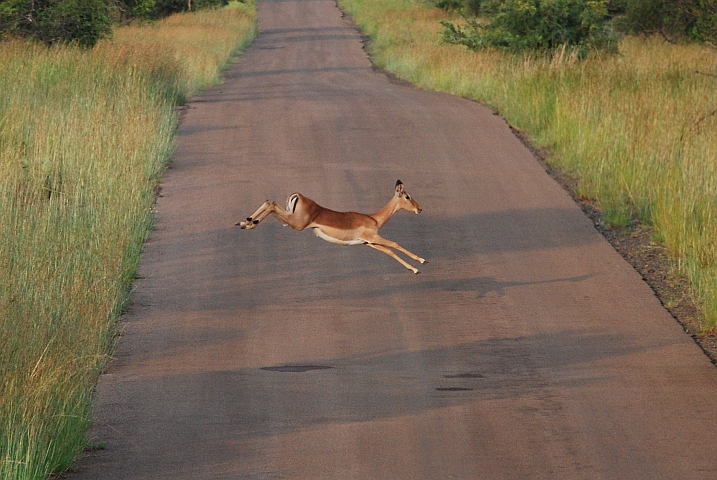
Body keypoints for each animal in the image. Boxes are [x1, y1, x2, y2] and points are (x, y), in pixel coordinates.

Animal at [236, 180, 426, 274]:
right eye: (408, 196)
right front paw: (420, 263)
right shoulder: (373, 237)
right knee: (272, 204)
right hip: (296, 224)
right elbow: (394, 244)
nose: (420, 209)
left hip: (290, 218)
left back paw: (244, 223)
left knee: (269, 201)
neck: (373, 218)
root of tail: (297, 195)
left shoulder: (369, 243)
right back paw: (249, 224)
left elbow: (389, 251)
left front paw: (414, 268)